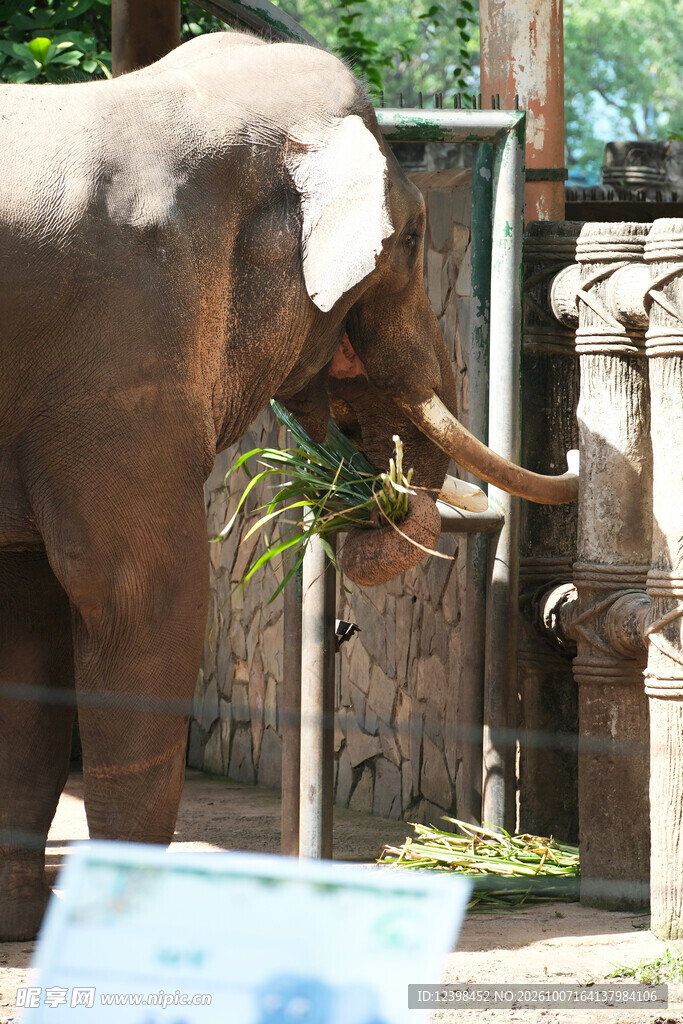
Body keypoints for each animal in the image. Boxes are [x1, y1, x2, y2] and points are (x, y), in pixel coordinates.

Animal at [0, 30, 577, 940]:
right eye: (411, 239)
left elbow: (26, 622)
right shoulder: (124, 348)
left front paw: (25, 927)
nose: (371, 492)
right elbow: (140, 595)